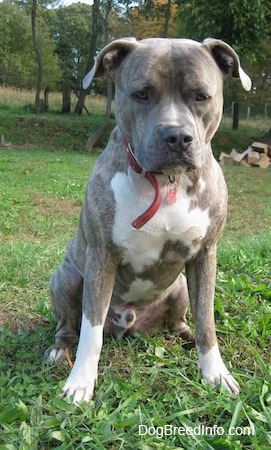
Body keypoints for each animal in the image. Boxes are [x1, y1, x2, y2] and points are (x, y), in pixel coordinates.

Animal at [47, 37, 253, 400]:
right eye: (141, 94)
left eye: (201, 96)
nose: (177, 136)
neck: (166, 181)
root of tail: (131, 322)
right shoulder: (101, 257)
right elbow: (90, 329)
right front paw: (81, 381)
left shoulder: (205, 255)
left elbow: (207, 321)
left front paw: (215, 372)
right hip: (66, 276)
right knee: (69, 324)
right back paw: (61, 349)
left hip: (181, 285)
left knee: (180, 322)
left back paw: (186, 338)